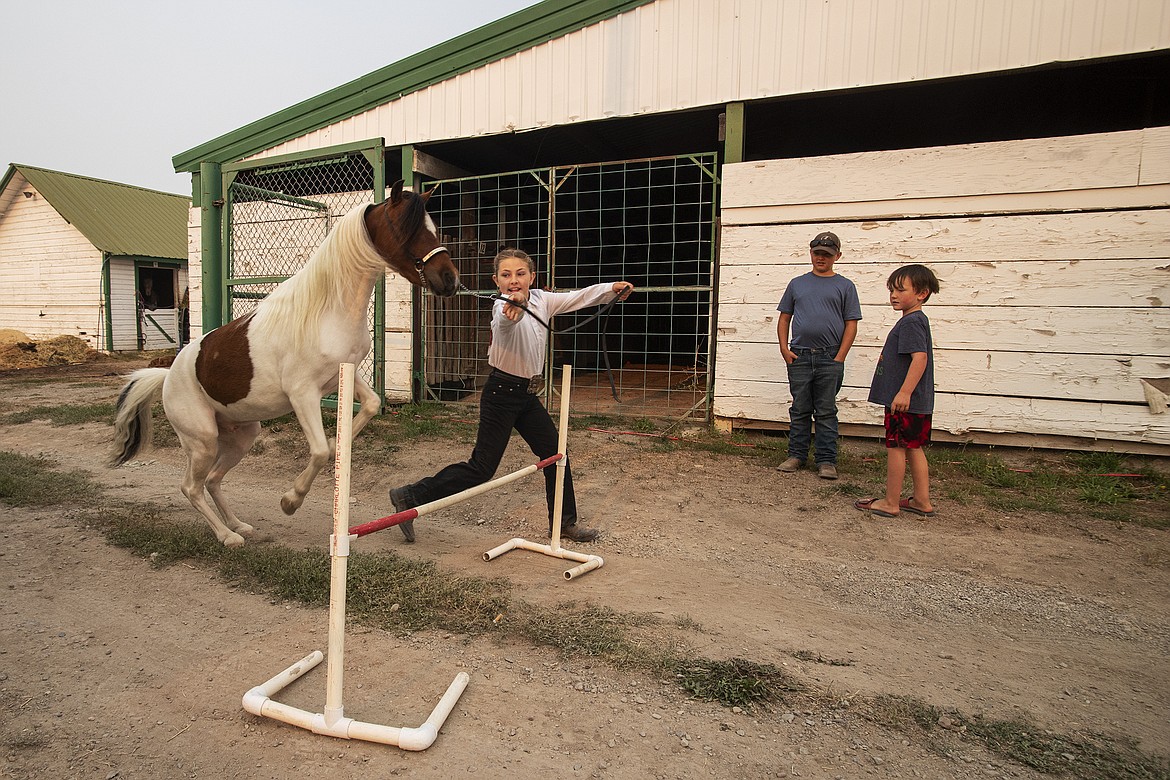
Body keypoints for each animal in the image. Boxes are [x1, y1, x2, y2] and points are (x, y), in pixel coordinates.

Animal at [109, 183, 456, 549]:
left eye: (433, 228)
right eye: (408, 228)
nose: (450, 279)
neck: (327, 309)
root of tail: (167, 376)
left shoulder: (342, 378)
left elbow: (367, 410)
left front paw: (324, 464)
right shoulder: (303, 395)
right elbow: (319, 450)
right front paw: (291, 501)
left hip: (242, 437)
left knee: (214, 480)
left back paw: (239, 525)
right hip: (202, 441)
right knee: (191, 487)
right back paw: (227, 536)